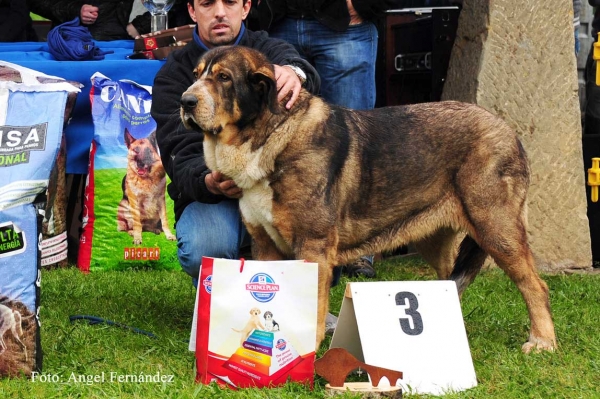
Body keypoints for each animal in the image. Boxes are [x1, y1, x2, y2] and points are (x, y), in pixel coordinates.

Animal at [179, 45, 556, 354]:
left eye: (224, 78)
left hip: (496, 228)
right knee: (452, 282)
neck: (267, 137)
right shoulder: (266, 245)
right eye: (196, 76)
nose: (185, 102)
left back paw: (542, 342)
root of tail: (508, 131)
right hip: (437, 240)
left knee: (534, 284)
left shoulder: (313, 246)